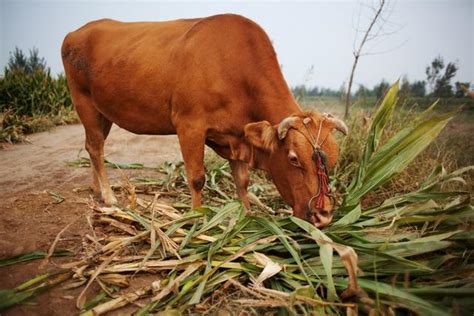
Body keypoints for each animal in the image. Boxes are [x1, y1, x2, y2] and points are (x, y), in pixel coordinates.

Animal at [61, 14, 346, 227]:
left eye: (332, 160)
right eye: (294, 159)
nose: (323, 216)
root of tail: (76, 32)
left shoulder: (237, 134)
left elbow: (242, 181)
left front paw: (246, 215)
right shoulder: (189, 125)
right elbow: (197, 177)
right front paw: (197, 219)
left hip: (103, 112)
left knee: (92, 147)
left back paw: (97, 190)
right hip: (83, 101)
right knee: (96, 147)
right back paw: (109, 197)